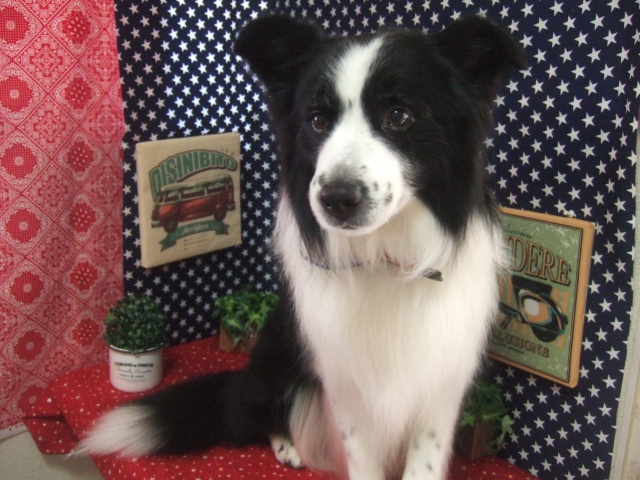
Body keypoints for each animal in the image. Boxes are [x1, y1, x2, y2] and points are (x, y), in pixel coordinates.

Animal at [81, 14, 525, 480]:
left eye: (399, 115)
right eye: (316, 120)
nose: (336, 198)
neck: (384, 259)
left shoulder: (440, 390)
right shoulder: (346, 387)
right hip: (275, 361)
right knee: (258, 417)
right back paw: (287, 445)